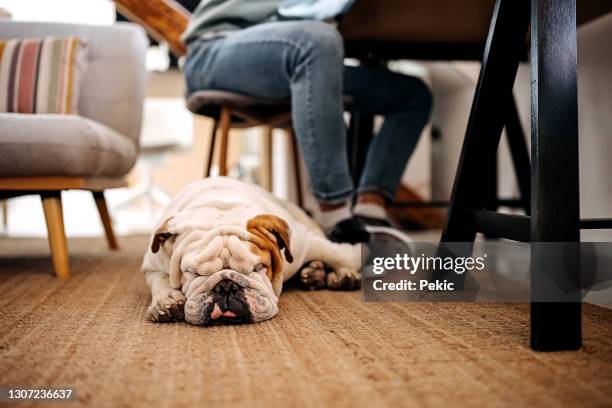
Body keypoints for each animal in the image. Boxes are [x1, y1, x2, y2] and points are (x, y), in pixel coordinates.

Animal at [142, 177, 364, 326]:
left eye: (258, 268)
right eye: (193, 273)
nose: (226, 286)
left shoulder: (306, 243)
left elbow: (340, 255)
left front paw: (350, 267)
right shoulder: (151, 264)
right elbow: (160, 281)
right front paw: (167, 302)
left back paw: (337, 275)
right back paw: (314, 273)